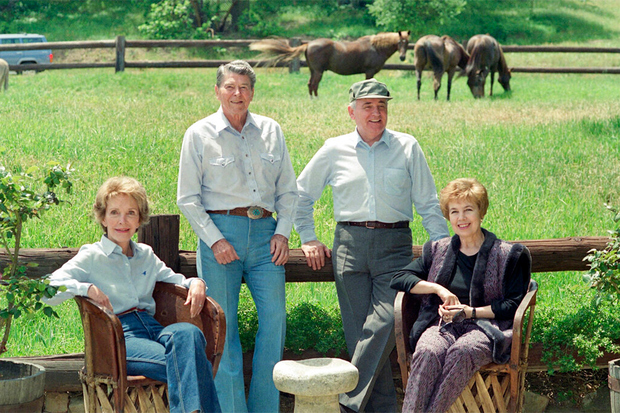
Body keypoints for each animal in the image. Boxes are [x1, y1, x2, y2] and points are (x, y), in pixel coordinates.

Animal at [249, 31, 410, 96]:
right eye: (399, 42)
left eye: (407, 42)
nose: (402, 58)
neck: (376, 47)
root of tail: (308, 44)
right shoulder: (369, 72)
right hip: (318, 71)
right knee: (314, 85)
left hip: (313, 70)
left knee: (310, 85)